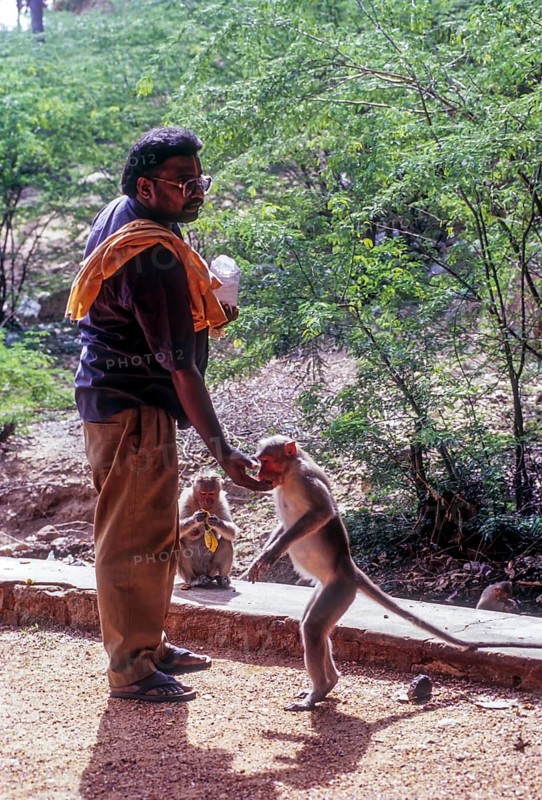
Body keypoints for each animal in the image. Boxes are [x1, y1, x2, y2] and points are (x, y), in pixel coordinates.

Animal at [246, 436, 542, 711]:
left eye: (266, 461)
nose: (259, 475)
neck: (290, 474)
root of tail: (349, 568)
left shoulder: (307, 480)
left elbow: (322, 512)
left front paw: (272, 552)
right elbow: (285, 526)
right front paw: (261, 557)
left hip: (340, 589)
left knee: (314, 626)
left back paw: (319, 691)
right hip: (327, 586)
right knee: (316, 627)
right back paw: (329, 684)